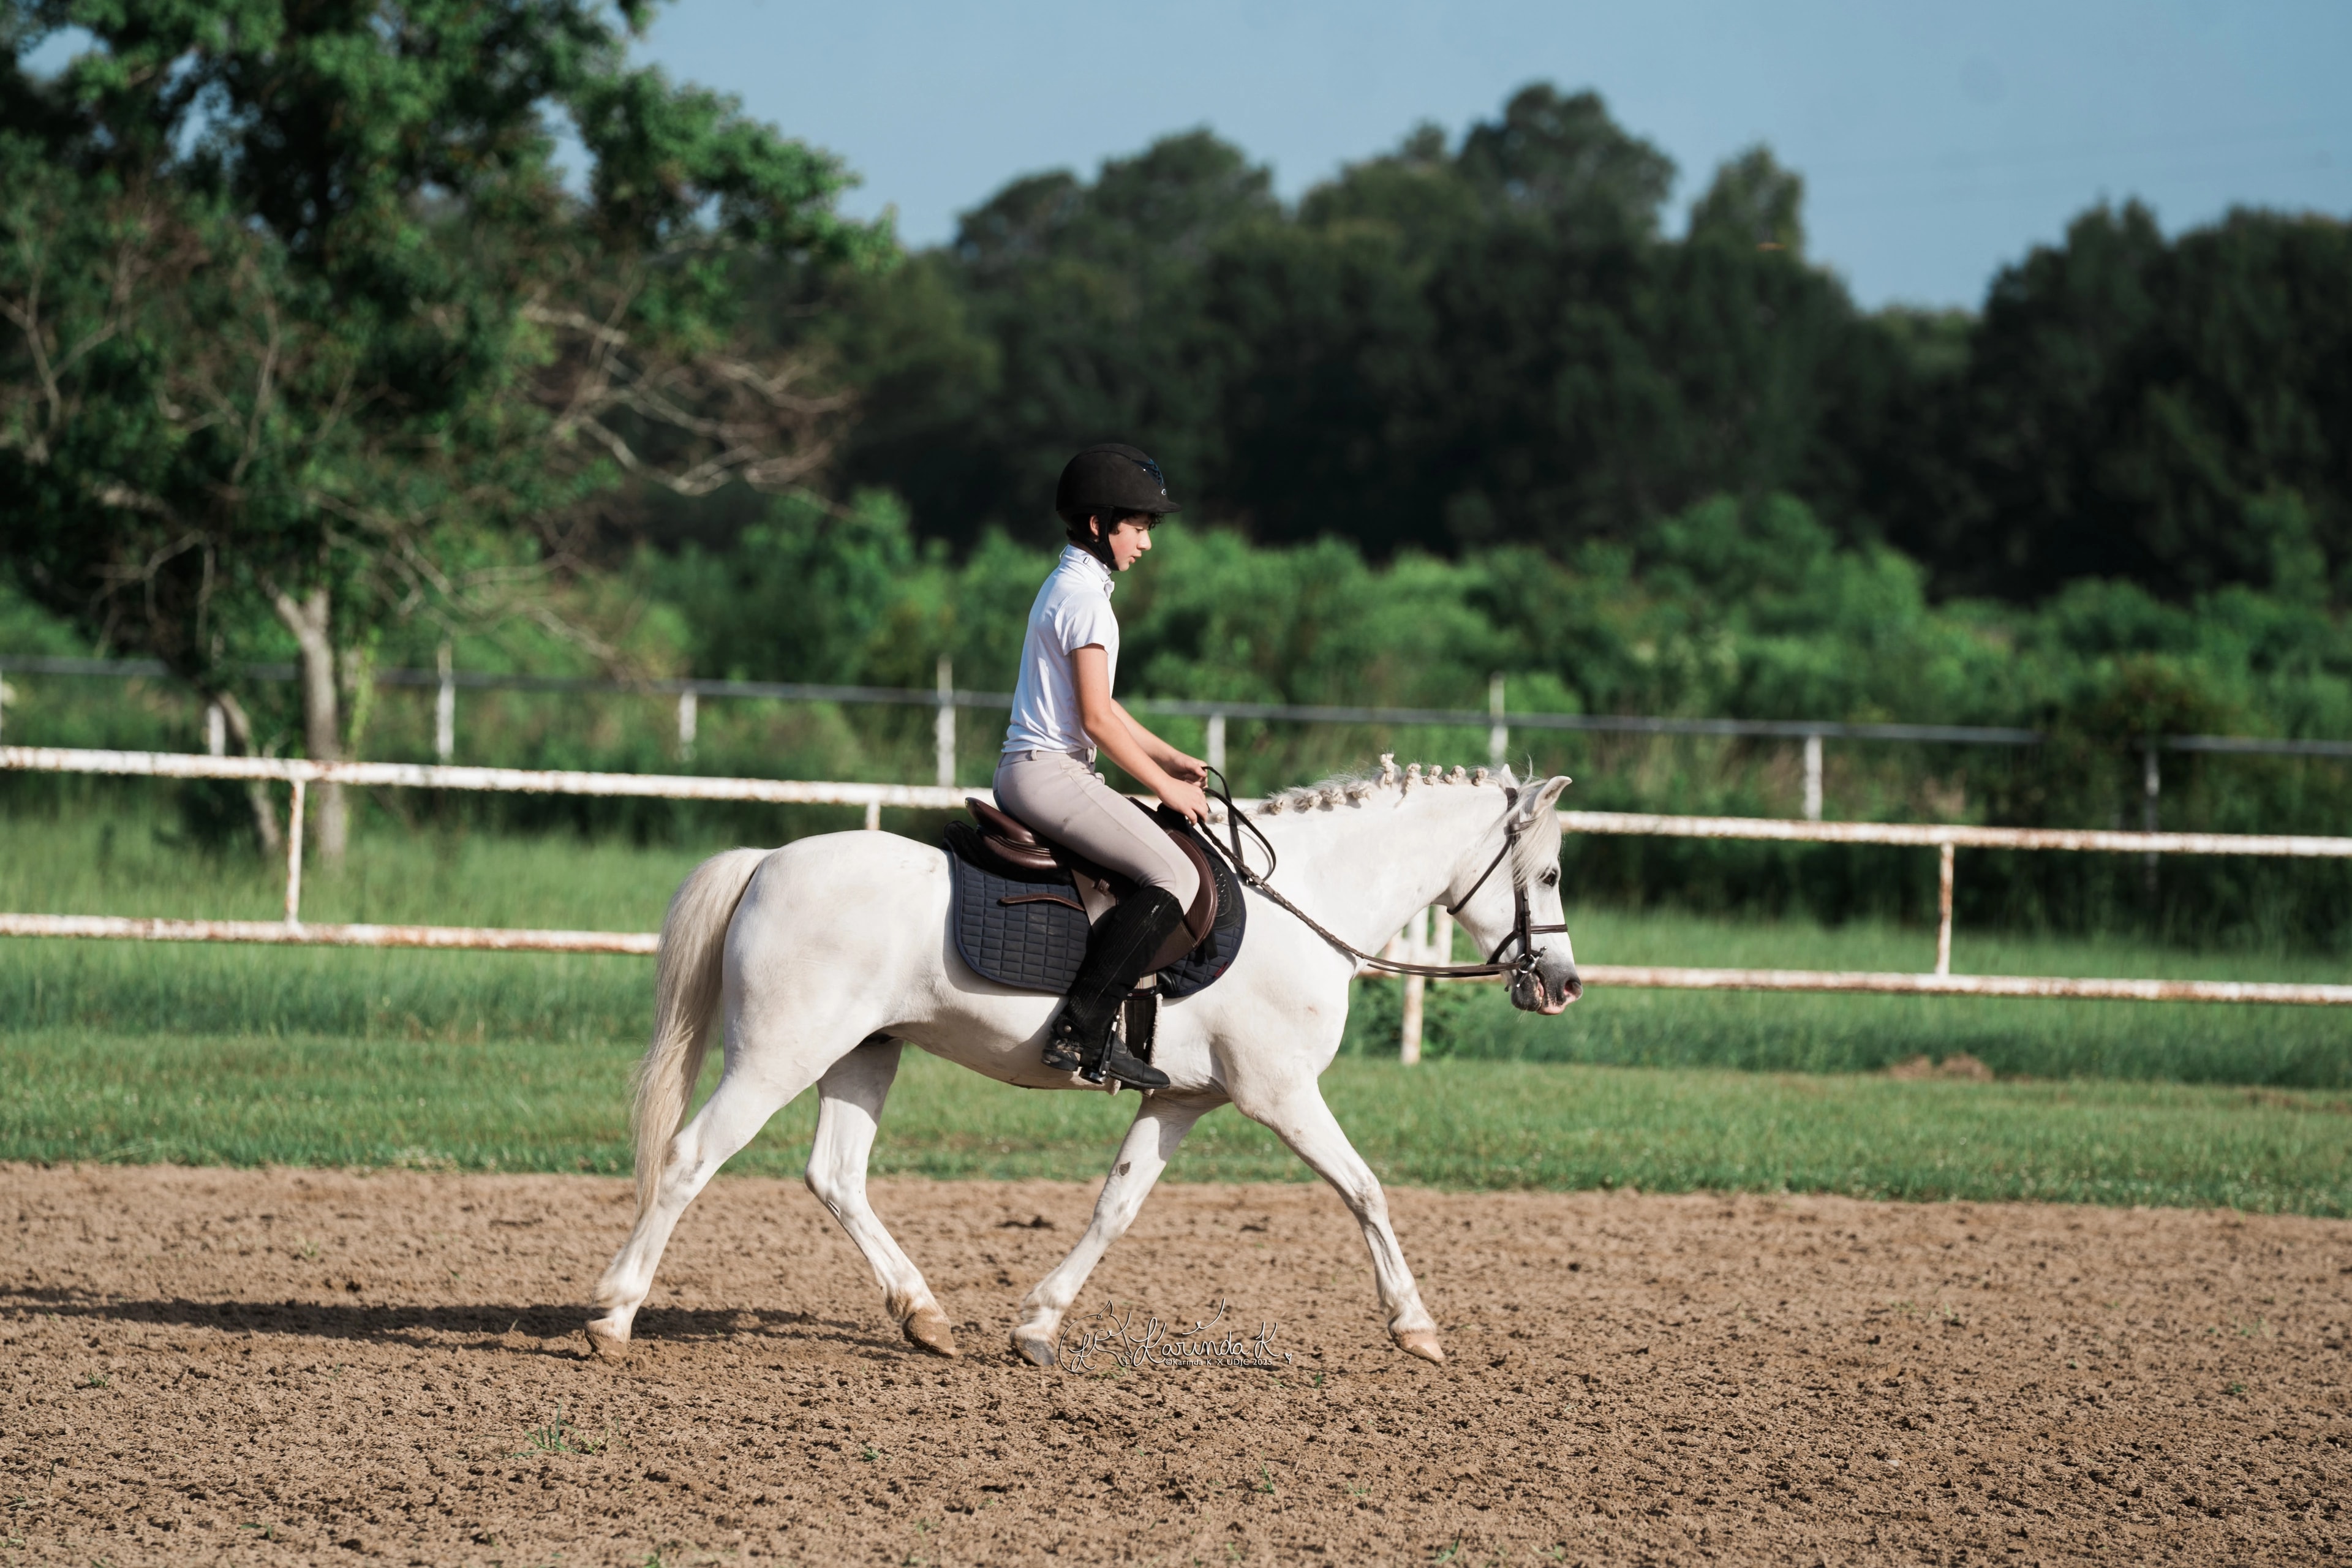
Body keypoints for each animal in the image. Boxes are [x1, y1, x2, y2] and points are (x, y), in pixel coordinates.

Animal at [586, 759, 1581, 1368]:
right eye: (1551, 875)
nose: (1565, 984)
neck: (1305, 900)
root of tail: (767, 863)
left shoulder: (1181, 1102)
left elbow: (1116, 1207)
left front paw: (1037, 1323)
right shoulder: (1282, 1093)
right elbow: (1366, 1188)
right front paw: (1416, 1326)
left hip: (862, 1055)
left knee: (835, 1176)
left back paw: (924, 1314)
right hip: (775, 1057)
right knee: (688, 1161)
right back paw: (612, 1314)